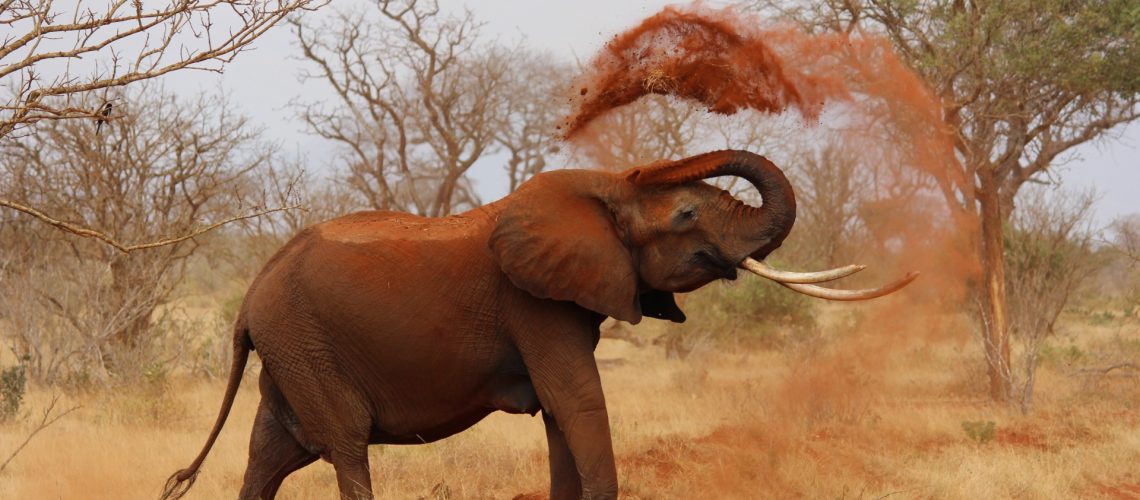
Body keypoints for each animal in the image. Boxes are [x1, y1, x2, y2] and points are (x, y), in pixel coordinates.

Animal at [162, 150, 914, 500]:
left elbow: (560, 414)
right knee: (344, 448)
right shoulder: (534, 303)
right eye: (685, 216)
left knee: (272, 454)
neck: (602, 190)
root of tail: (249, 295)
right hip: (305, 343)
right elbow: (577, 401)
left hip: (291, 351)